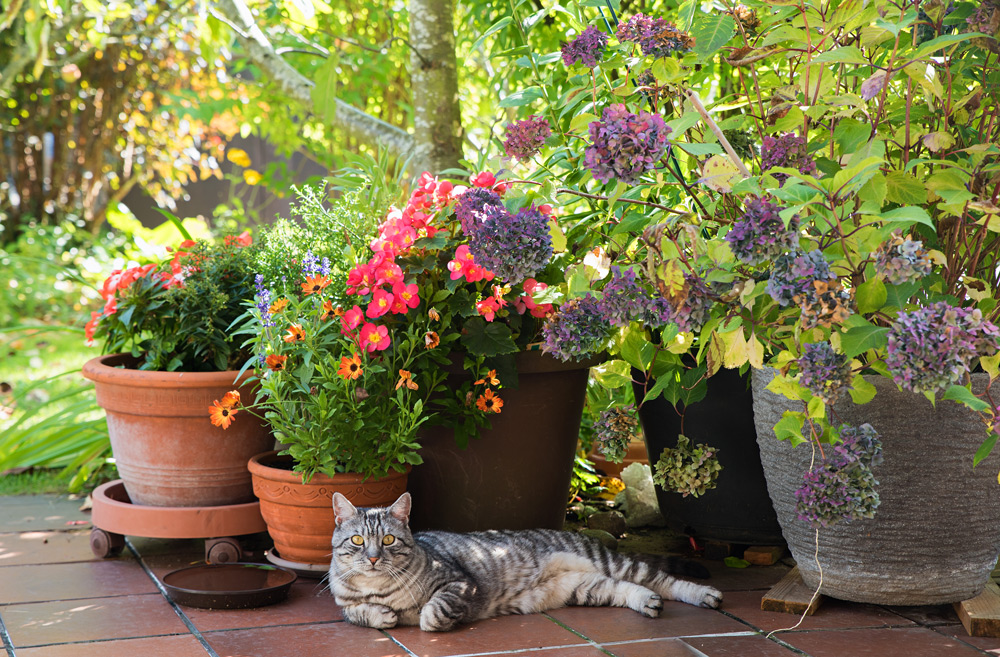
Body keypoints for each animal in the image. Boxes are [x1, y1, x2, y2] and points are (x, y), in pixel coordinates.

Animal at [332, 492, 724, 632]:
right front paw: (381, 615)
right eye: (357, 540)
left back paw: (703, 595)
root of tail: (584, 536)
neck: (380, 588)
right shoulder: (344, 604)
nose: (372, 558)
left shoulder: (459, 582)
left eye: (387, 540)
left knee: (663, 580)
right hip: (585, 588)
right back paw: (647, 603)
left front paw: (427, 618)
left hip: (612, 565)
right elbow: (358, 613)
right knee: (630, 588)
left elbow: (434, 610)